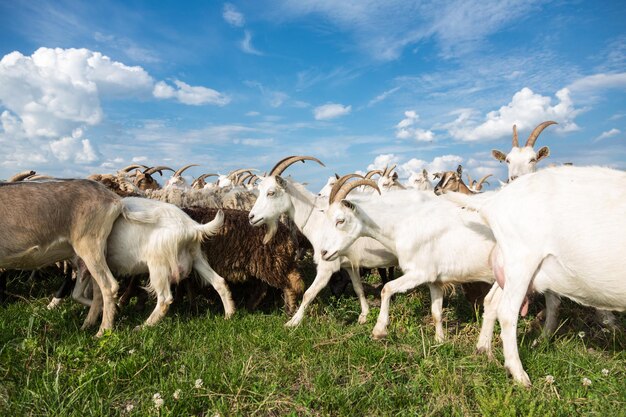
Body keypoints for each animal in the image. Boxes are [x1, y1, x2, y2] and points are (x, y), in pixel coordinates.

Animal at [0, 179, 123, 334]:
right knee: (94, 290)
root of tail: (114, 198)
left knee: (109, 286)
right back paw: (88, 324)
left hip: (89, 243)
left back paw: (103, 331)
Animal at [246, 155, 398, 324]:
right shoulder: (349, 264)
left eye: (271, 192)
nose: (251, 217)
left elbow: (308, 294)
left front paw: (293, 322)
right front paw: (364, 315)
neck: (318, 220)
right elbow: (358, 288)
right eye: (259, 190)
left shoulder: (327, 266)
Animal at [446, 164, 624, 386]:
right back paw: (519, 374)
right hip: (522, 259)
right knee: (507, 311)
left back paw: (485, 350)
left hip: (511, 265)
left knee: (492, 301)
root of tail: (496, 200)